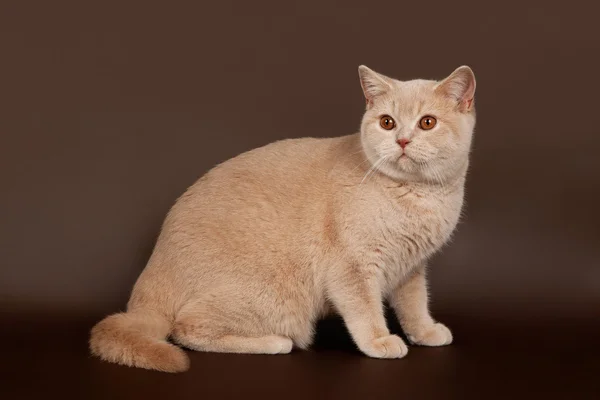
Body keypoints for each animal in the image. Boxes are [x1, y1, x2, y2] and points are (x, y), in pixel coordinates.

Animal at [89, 65, 476, 372]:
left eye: (427, 122)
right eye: (387, 122)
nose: (403, 140)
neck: (417, 197)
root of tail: (154, 268)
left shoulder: (411, 267)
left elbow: (414, 304)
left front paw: (424, 332)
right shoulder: (353, 267)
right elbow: (365, 308)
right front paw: (380, 341)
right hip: (277, 298)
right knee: (186, 328)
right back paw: (274, 342)